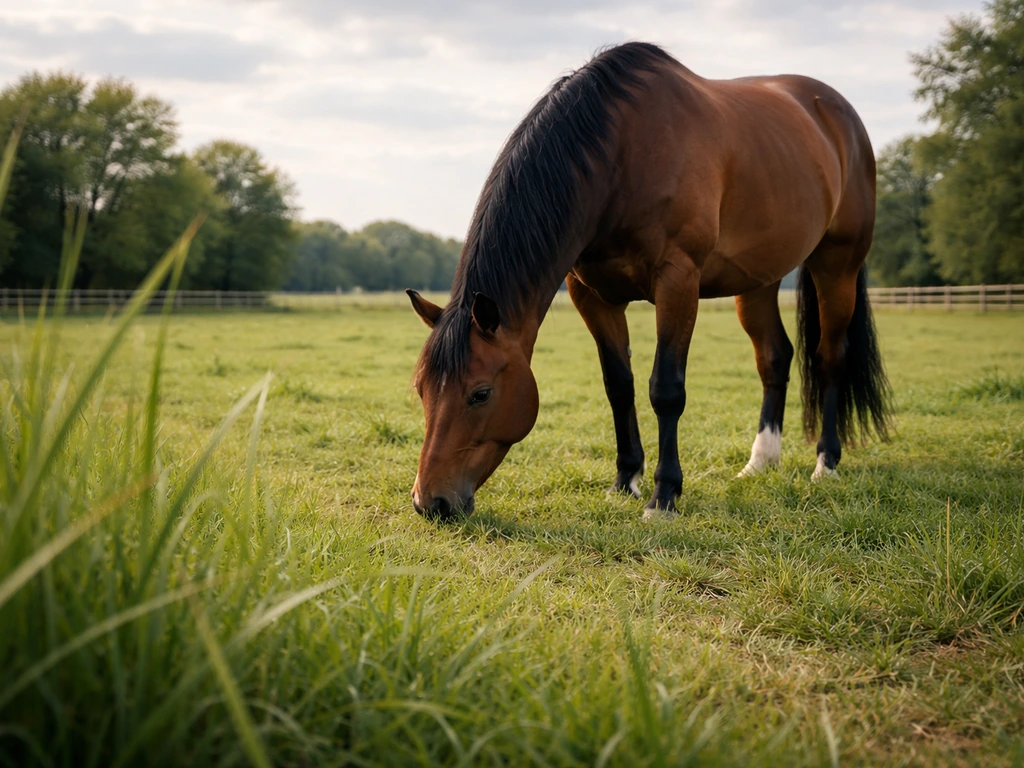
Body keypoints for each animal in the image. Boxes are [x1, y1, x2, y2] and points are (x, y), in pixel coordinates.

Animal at [407, 42, 892, 521]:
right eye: (422, 389)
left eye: (480, 393)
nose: (430, 502)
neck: (621, 158)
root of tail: (837, 113)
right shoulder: (591, 295)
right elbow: (618, 386)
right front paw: (625, 480)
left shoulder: (678, 282)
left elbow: (666, 390)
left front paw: (664, 495)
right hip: (757, 281)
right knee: (774, 357)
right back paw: (760, 462)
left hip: (836, 267)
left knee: (830, 357)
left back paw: (826, 463)